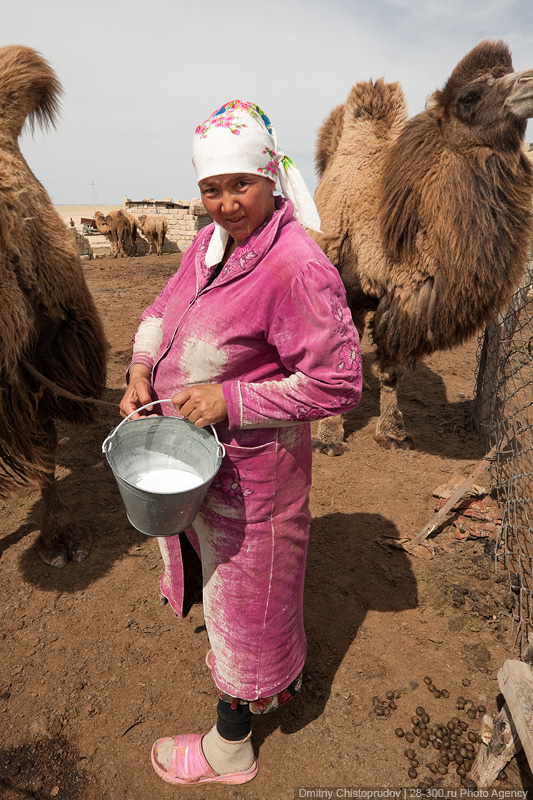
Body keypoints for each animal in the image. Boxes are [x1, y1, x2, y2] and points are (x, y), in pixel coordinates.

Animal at [312, 39, 532, 456]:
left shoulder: (397, 301)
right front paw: (327, 437)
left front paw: (393, 432)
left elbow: (391, 369)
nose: (531, 83)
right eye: (469, 96)